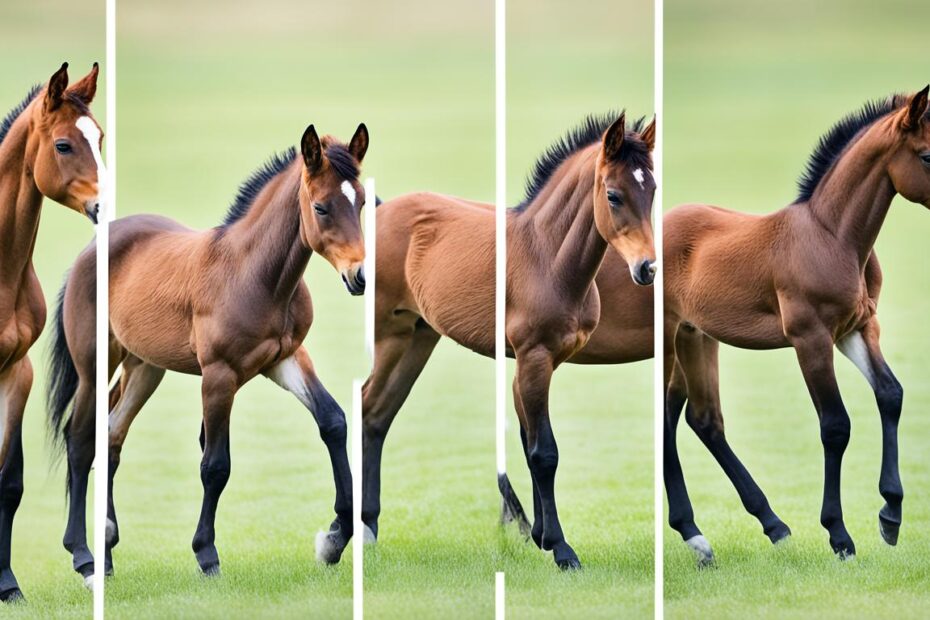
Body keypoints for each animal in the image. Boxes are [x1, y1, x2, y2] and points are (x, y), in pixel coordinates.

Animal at [48, 123, 368, 581]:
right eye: (321, 207)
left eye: (361, 202)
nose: (359, 276)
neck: (253, 274)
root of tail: (89, 251)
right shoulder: (219, 377)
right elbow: (215, 465)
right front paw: (206, 553)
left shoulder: (286, 359)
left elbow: (334, 422)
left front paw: (334, 539)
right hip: (94, 367)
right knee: (80, 441)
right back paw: (84, 556)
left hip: (145, 368)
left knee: (110, 434)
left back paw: (106, 550)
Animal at [362, 112, 656, 569]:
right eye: (613, 195)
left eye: (653, 190)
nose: (647, 268)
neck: (547, 257)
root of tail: (382, 210)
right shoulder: (534, 357)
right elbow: (544, 452)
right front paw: (562, 549)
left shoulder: (536, 361)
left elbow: (528, 440)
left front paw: (541, 536)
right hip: (389, 336)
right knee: (366, 406)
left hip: (419, 338)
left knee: (377, 415)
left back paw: (366, 529)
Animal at [663, 87, 930, 566]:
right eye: (927, 155)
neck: (832, 237)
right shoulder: (811, 339)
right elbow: (835, 426)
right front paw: (839, 535)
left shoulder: (859, 329)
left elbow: (891, 394)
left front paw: (891, 515)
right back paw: (699, 531)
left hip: (695, 337)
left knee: (698, 418)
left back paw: (767, 525)